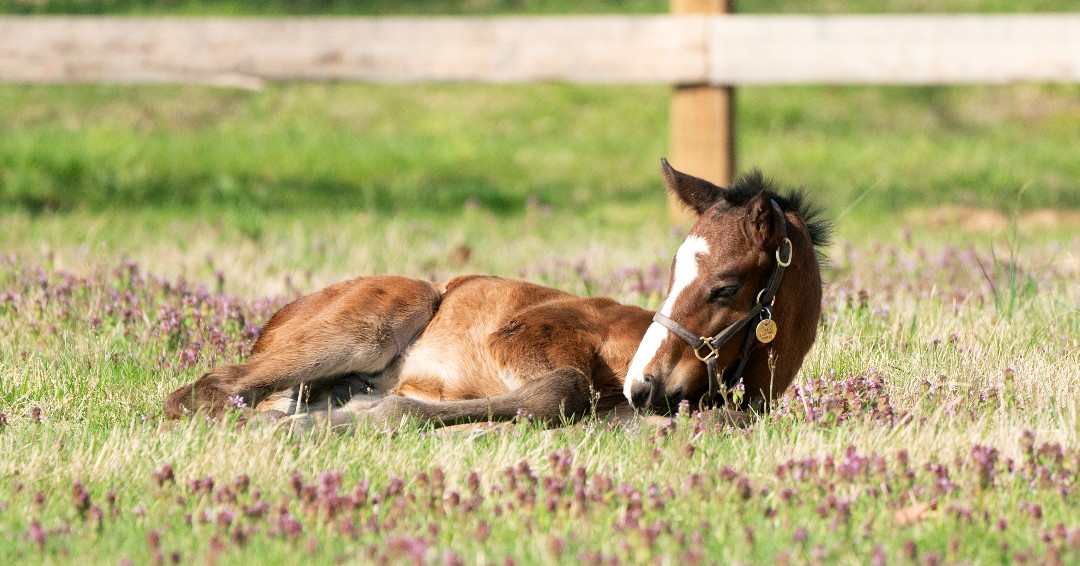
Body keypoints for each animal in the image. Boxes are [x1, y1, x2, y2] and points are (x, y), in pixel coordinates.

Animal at [164, 159, 829, 429]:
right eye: (670, 274)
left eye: (724, 286)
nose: (643, 386)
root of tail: (279, 316)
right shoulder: (521, 336)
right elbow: (563, 389)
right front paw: (373, 414)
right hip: (383, 312)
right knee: (209, 388)